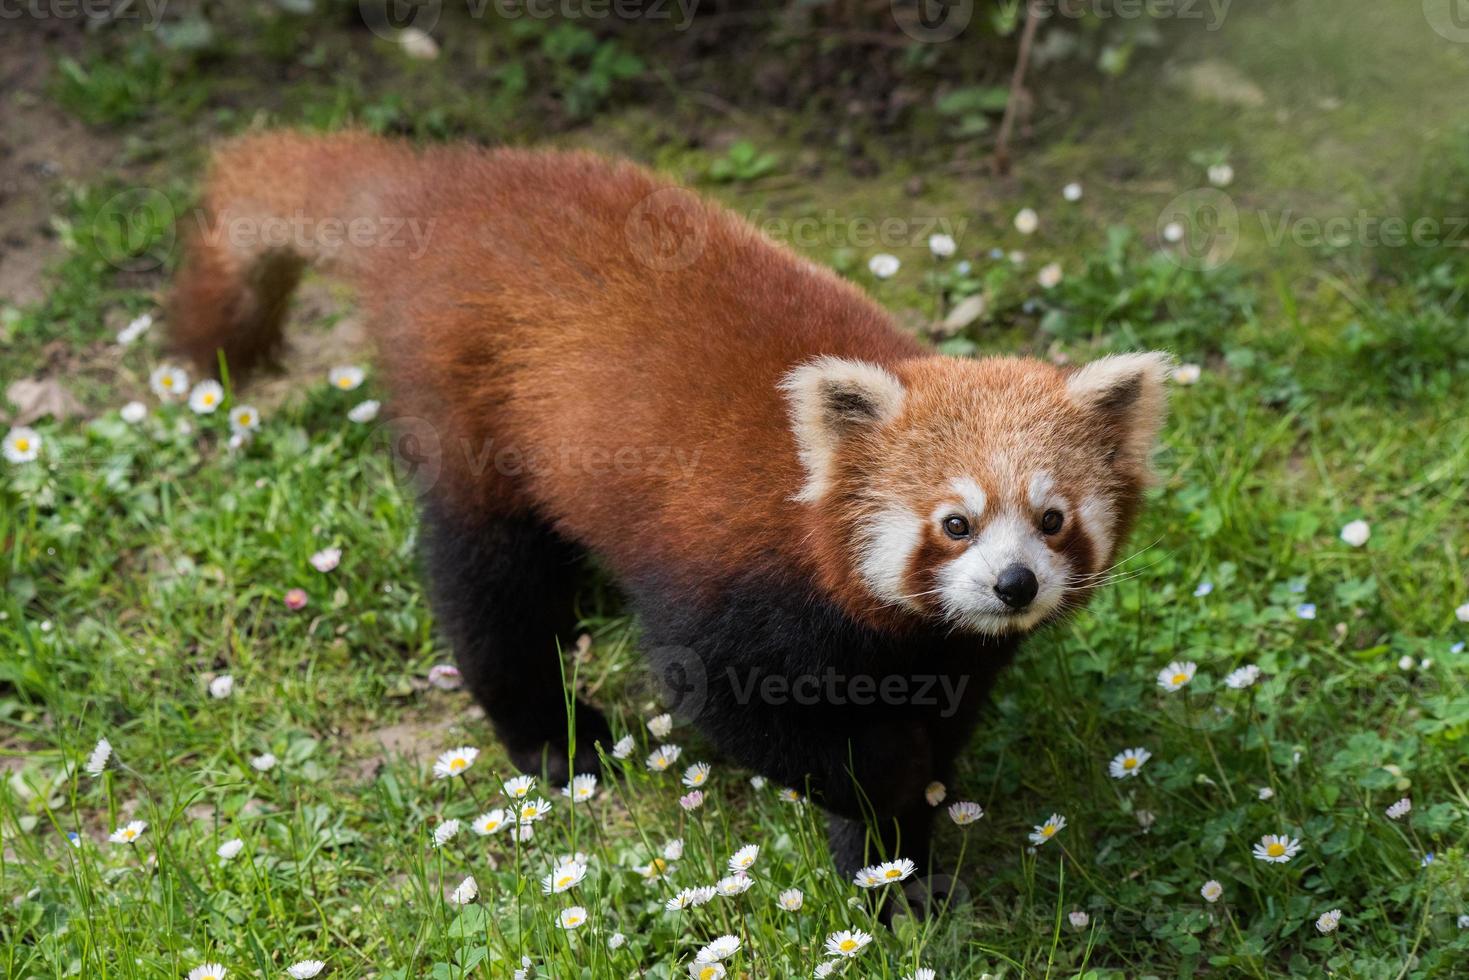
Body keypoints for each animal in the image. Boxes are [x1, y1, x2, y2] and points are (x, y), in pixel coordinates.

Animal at [166, 128, 1169, 881]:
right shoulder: (737, 590)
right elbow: (744, 710)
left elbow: (943, 714)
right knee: (486, 580)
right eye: (954, 523)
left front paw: (904, 849)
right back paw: (552, 738)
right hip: (472, 408)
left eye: (1051, 519)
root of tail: (455, 183)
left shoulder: (948, 649)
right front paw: (885, 803)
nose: (1013, 586)